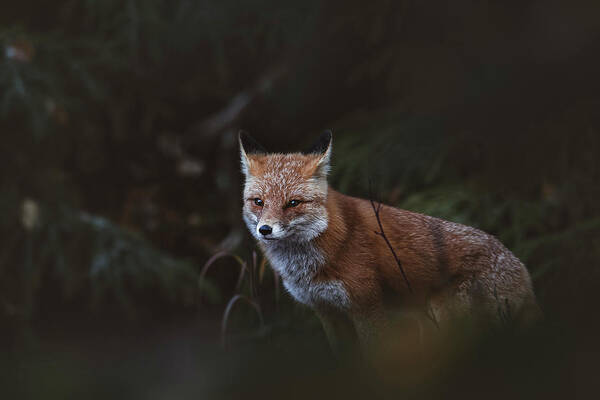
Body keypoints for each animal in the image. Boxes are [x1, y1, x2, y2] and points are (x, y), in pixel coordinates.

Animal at [238, 130, 540, 354]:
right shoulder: (327, 312)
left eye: (293, 203)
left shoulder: (366, 306)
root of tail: (523, 269)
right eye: (259, 202)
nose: (265, 229)